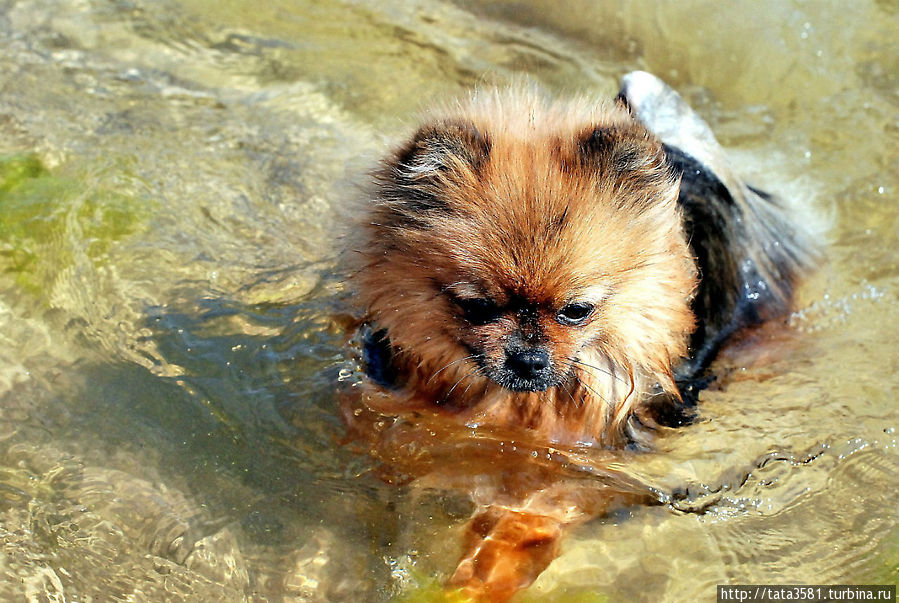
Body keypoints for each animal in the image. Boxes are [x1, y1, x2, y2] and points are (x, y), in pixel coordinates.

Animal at [340, 73, 816, 600]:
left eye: (576, 311)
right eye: (478, 307)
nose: (527, 359)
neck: (515, 409)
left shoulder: (570, 478)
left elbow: (515, 534)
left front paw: (470, 583)